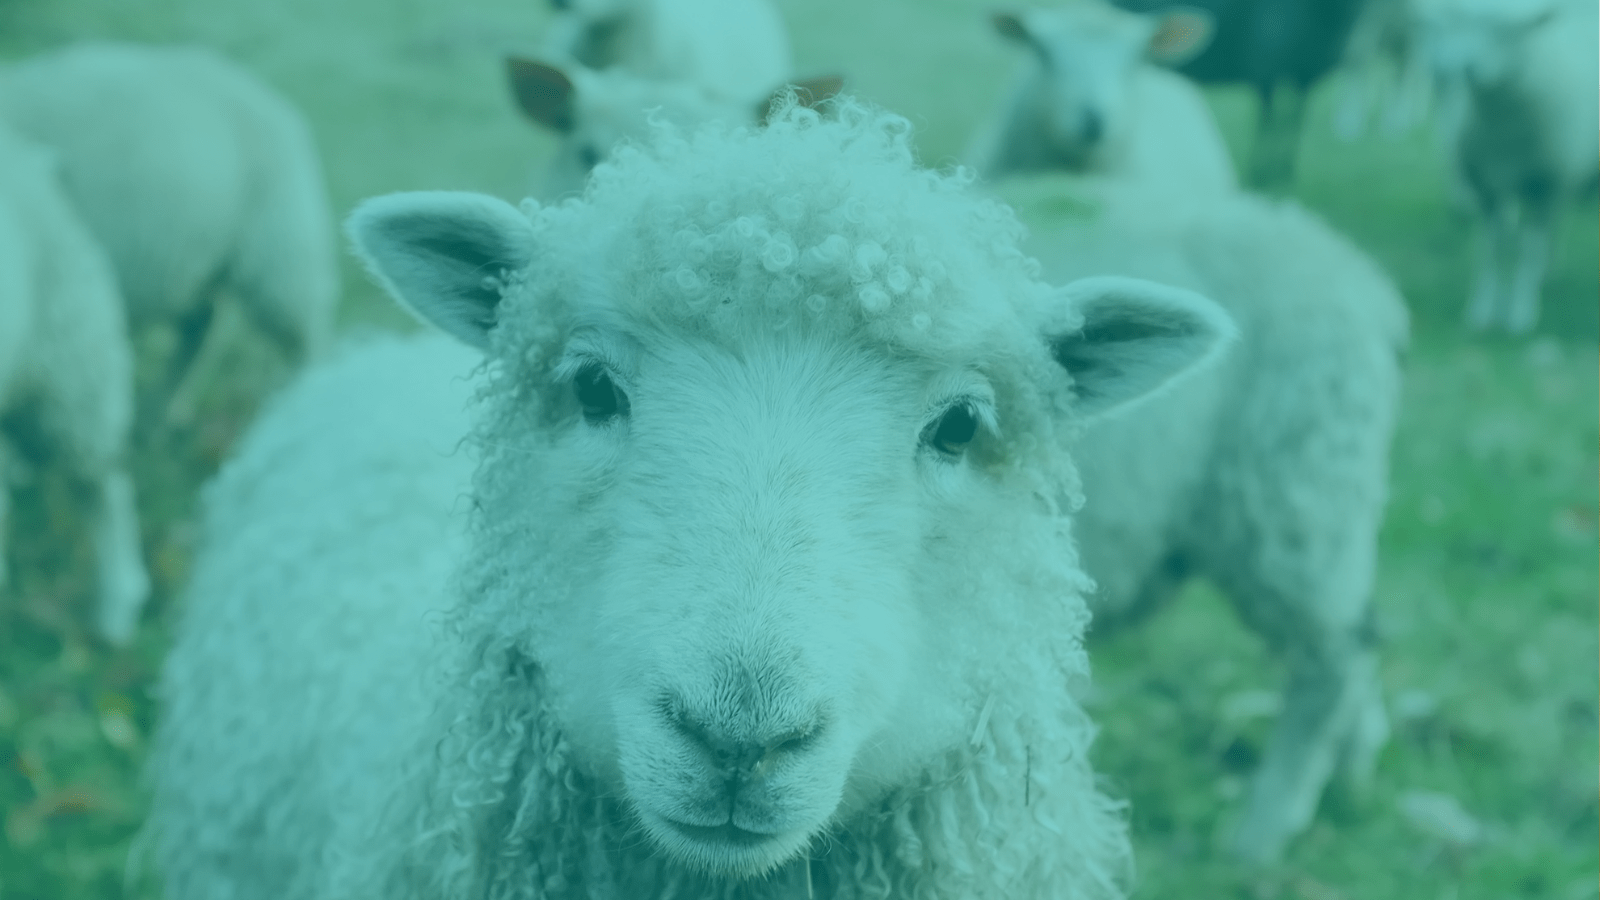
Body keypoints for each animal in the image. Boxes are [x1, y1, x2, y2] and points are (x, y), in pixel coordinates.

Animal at [0, 41, 339, 415]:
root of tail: (270, 98)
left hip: (280, 247)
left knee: (304, 335)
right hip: (195, 259)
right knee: (200, 325)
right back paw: (159, 409)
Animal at [996, 173, 1408, 863]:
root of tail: (1364, 282)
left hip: (1290, 490)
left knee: (1336, 657)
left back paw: (1263, 832)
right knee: (1361, 631)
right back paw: (1352, 774)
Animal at [1114, 0, 1370, 188]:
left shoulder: (1305, 77)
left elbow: (1294, 122)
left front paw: (1284, 172)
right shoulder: (1267, 71)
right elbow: (1269, 123)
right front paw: (1262, 173)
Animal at [1409, 0, 1598, 334]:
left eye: (1510, 31)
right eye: (1461, 24)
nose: (1467, 68)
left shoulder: (1543, 185)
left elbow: (1529, 251)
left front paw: (1521, 313)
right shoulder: (1488, 188)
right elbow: (1491, 251)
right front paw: (1482, 311)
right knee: (1556, 223)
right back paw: (1549, 273)